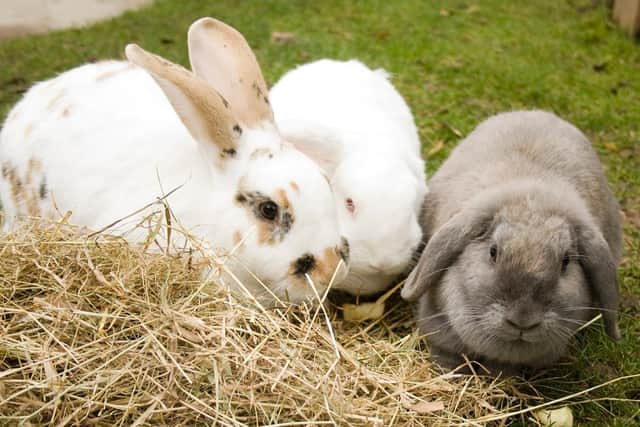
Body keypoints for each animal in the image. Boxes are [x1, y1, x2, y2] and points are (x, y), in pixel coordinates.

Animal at [404, 110, 620, 374]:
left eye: (566, 262)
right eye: (493, 252)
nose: (522, 321)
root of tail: (537, 112)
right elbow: (446, 356)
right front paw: (449, 373)